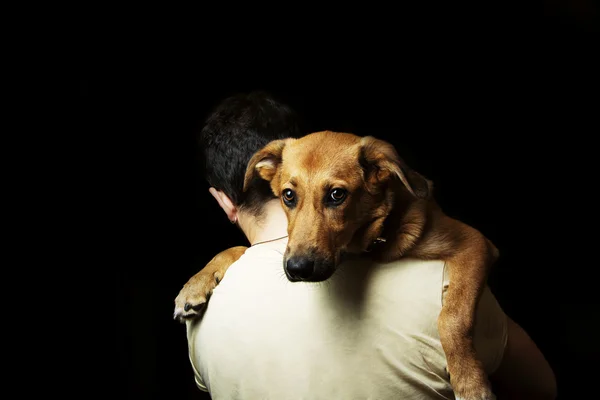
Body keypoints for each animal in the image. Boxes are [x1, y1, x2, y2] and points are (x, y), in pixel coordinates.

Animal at [176, 131, 500, 400]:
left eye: (337, 195)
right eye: (288, 195)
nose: (297, 269)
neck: (372, 242)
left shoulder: (475, 242)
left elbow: (453, 316)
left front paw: (469, 381)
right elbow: (235, 248)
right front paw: (194, 286)